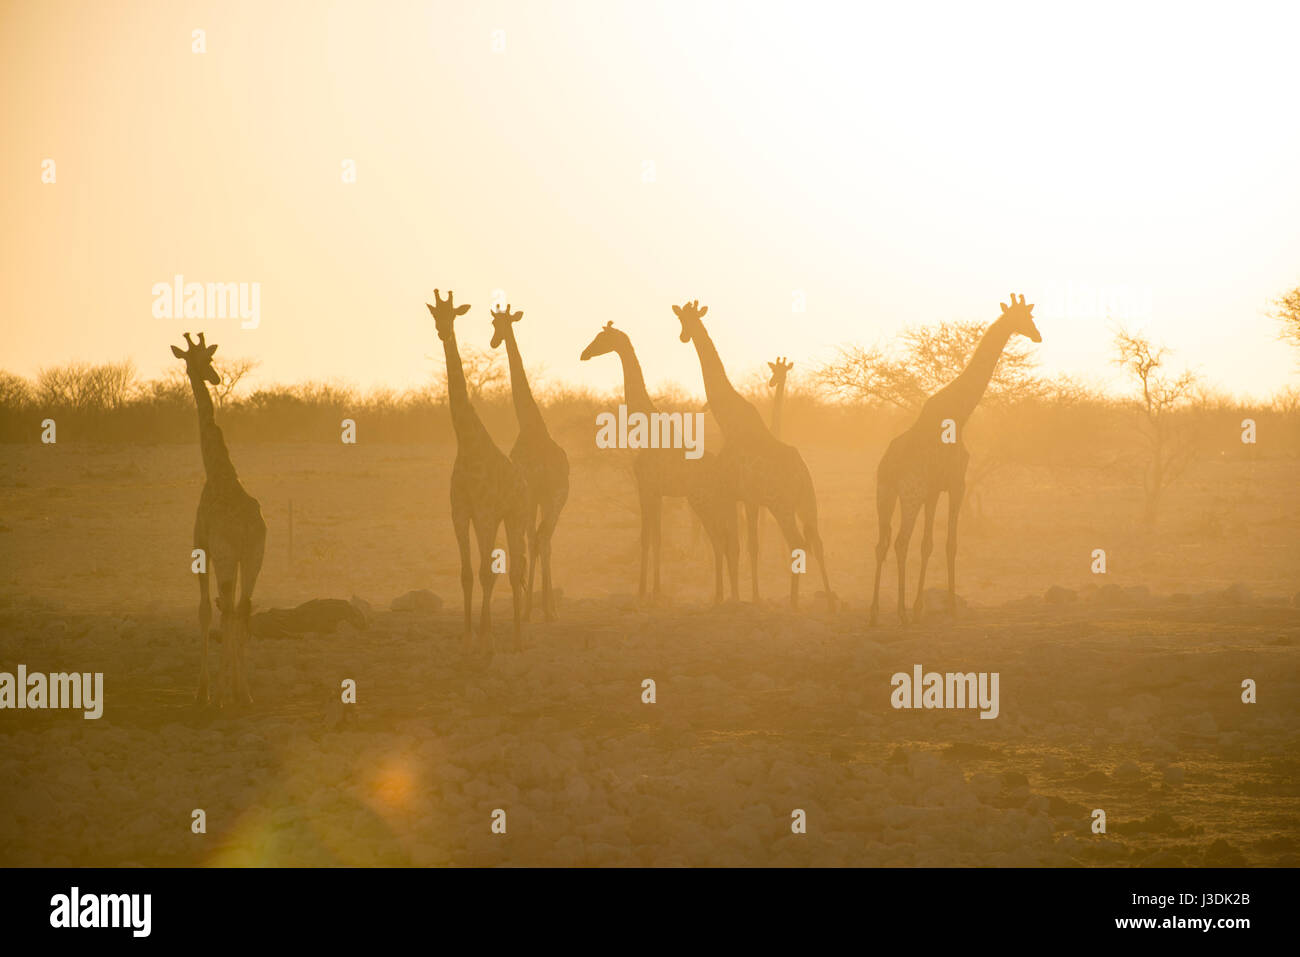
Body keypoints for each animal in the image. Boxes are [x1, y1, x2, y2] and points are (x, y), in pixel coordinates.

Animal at [428, 289, 528, 652]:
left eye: (454, 313)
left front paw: (485, 636)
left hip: (514, 516)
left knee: (514, 568)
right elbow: (467, 573)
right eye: (435, 314)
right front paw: (469, 634)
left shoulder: (484, 512)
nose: (443, 332)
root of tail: (523, 481)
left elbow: (486, 572)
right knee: (497, 568)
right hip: (496, 519)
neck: (468, 444)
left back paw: (516, 637)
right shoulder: (460, 512)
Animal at [489, 303, 569, 621]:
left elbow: (527, 540)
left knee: (536, 539)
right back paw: (549, 608)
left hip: (542, 498)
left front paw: (528, 607)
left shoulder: (527, 493)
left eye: (501, 323)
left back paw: (533, 608)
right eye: (493, 323)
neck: (529, 422)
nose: (494, 341)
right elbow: (540, 541)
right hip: (556, 499)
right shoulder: (538, 497)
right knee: (546, 540)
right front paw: (543, 606)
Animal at [580, 321, 739, 602]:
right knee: (725, 539)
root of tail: (724, 474)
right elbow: (657, 539)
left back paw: (720, 596)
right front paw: (656, 589)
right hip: (709, 502)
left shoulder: (645, 487)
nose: (583, 354)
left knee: (719, 539)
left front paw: (642, 589)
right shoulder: (658, 493)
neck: (646, 431)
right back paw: (728, 594)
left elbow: (646, 538)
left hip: (703, 500)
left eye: (601, 339)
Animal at [673, 300, 834, 610]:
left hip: (782, 505)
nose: (684, 336)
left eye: (687, 320)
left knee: (797, 542)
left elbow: (737, 545)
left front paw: (739, 597)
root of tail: (801, 474)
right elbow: (750, 546)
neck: (729, 420)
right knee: (818, 542)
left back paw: (793, 602)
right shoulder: (748, 499)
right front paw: (750, 596)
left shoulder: (734, 494)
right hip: (806, 503)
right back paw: (831, 599)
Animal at [869, 293, 1042, 626]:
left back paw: (873, 613)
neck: (960, 414)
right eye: (1025, 318)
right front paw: (948, 606)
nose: (1038, 335)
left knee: (881, 544)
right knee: (899, 541)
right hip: (909, 494)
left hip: (884, 494)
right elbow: (951, 544)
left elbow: (927, 545)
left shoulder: (934, 490)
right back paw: (899, 613)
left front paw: (921, 607)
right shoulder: (956, 485)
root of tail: (888, 466)